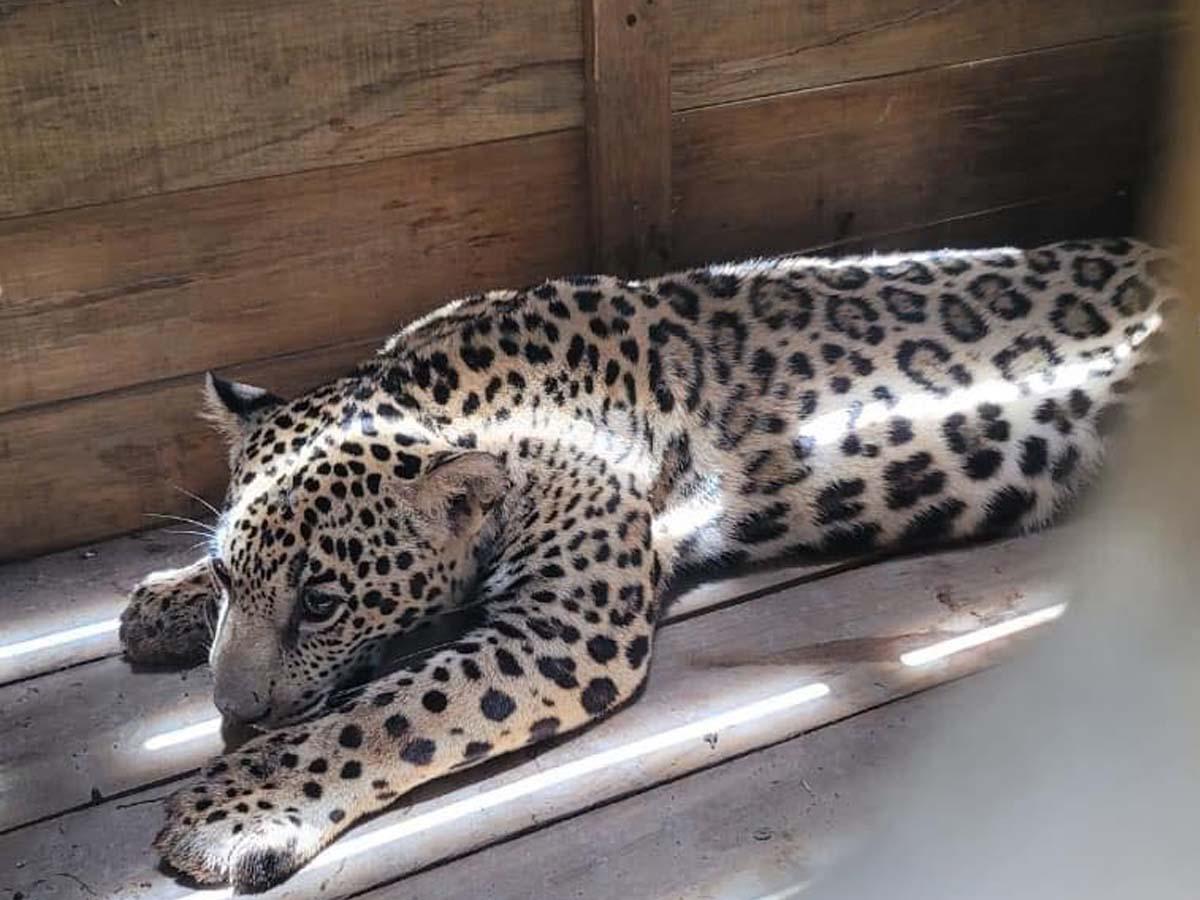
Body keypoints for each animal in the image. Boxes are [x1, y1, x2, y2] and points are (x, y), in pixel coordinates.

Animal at [119, 237, 1175, 892]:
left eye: (325, 602)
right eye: (232, 582)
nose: (232, 711)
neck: (470, 387)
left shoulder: (565, 626)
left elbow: (389, 712)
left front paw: (228, 811)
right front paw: (161, 606)